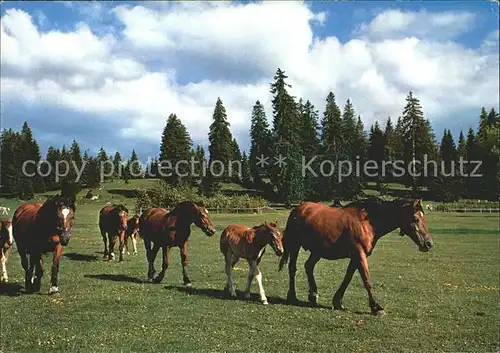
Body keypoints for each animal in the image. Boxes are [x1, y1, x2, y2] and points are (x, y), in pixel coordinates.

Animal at [278, 197, 434, 314]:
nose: (429, 243)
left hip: (317, 251)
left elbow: (347, 278)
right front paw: (376, 307)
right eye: (415, 219)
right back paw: (292, 296)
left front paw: (337, 302)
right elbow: (367, 280)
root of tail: (298, 208)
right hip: (295, 246)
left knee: (308, 266)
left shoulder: (356, 257)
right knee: (292, 269)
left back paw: (313, 295)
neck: (367, 223)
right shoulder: (359, 255)